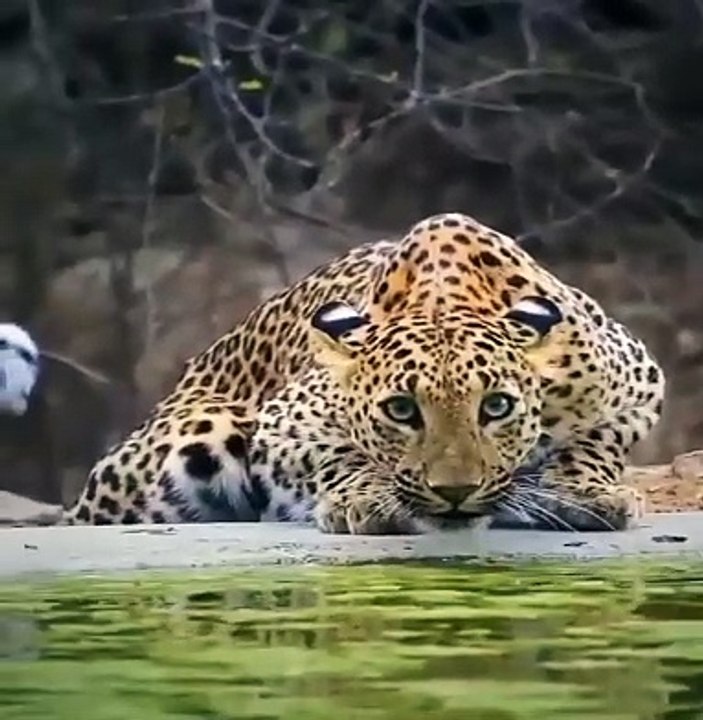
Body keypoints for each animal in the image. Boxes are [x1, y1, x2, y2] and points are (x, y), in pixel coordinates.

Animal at [62, 212, 665, 533]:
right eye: (401, 411)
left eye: (497, 406)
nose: (455, 492)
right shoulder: (285, 422)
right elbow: (335, 455)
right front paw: (367, 498)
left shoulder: (638, 385)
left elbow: (595, 440)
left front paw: (582, 490)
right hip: (201, 430)